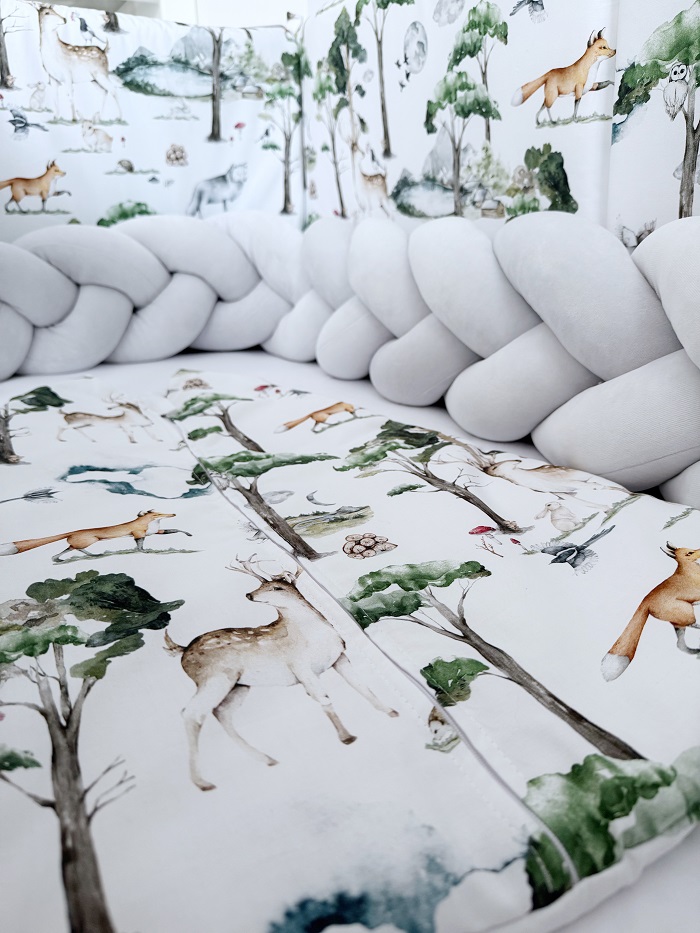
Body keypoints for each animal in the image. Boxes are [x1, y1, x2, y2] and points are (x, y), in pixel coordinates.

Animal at [0, 510, 191, 563]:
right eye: (158, 514)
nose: (173, 513)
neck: (150, 524)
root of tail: (72, 532)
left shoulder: (155, 532)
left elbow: (174, 530)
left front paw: (189, 533)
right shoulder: (138, 534)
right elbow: (139, 545)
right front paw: (144, 552)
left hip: (79, 542)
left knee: (68, 549)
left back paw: (58, 559)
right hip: (90, 540)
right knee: (75, 549)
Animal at [164, 557, 399, 791]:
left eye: (277, 587)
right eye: (260, 586)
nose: (249, 594)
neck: (312, 638)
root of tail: (182, 651)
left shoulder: (339, 656)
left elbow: (361, 685)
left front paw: (391, 712)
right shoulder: (300, 666)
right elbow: (324, 699)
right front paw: (346, 737)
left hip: (238, 685)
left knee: (221, 713)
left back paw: (268, 759)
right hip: (215, 677)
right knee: (191, 713)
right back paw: (203, 783)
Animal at [601, 543, 700, 681]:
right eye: (689, 553)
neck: (689, 571)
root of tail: (646, 602)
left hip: (678, 620)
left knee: (679, 644)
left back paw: (696, 651)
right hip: (686, 611)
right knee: (690, 627)